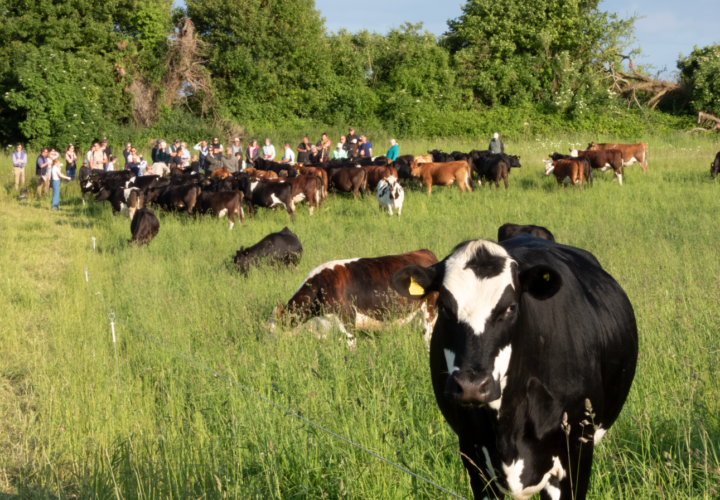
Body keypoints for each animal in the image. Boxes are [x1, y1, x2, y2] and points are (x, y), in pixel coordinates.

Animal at [270, 250, 438, 348]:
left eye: (273, 332)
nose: (271, 351)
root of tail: (425, 252)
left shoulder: (347, 320)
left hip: (430, 310)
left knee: (428, 335)